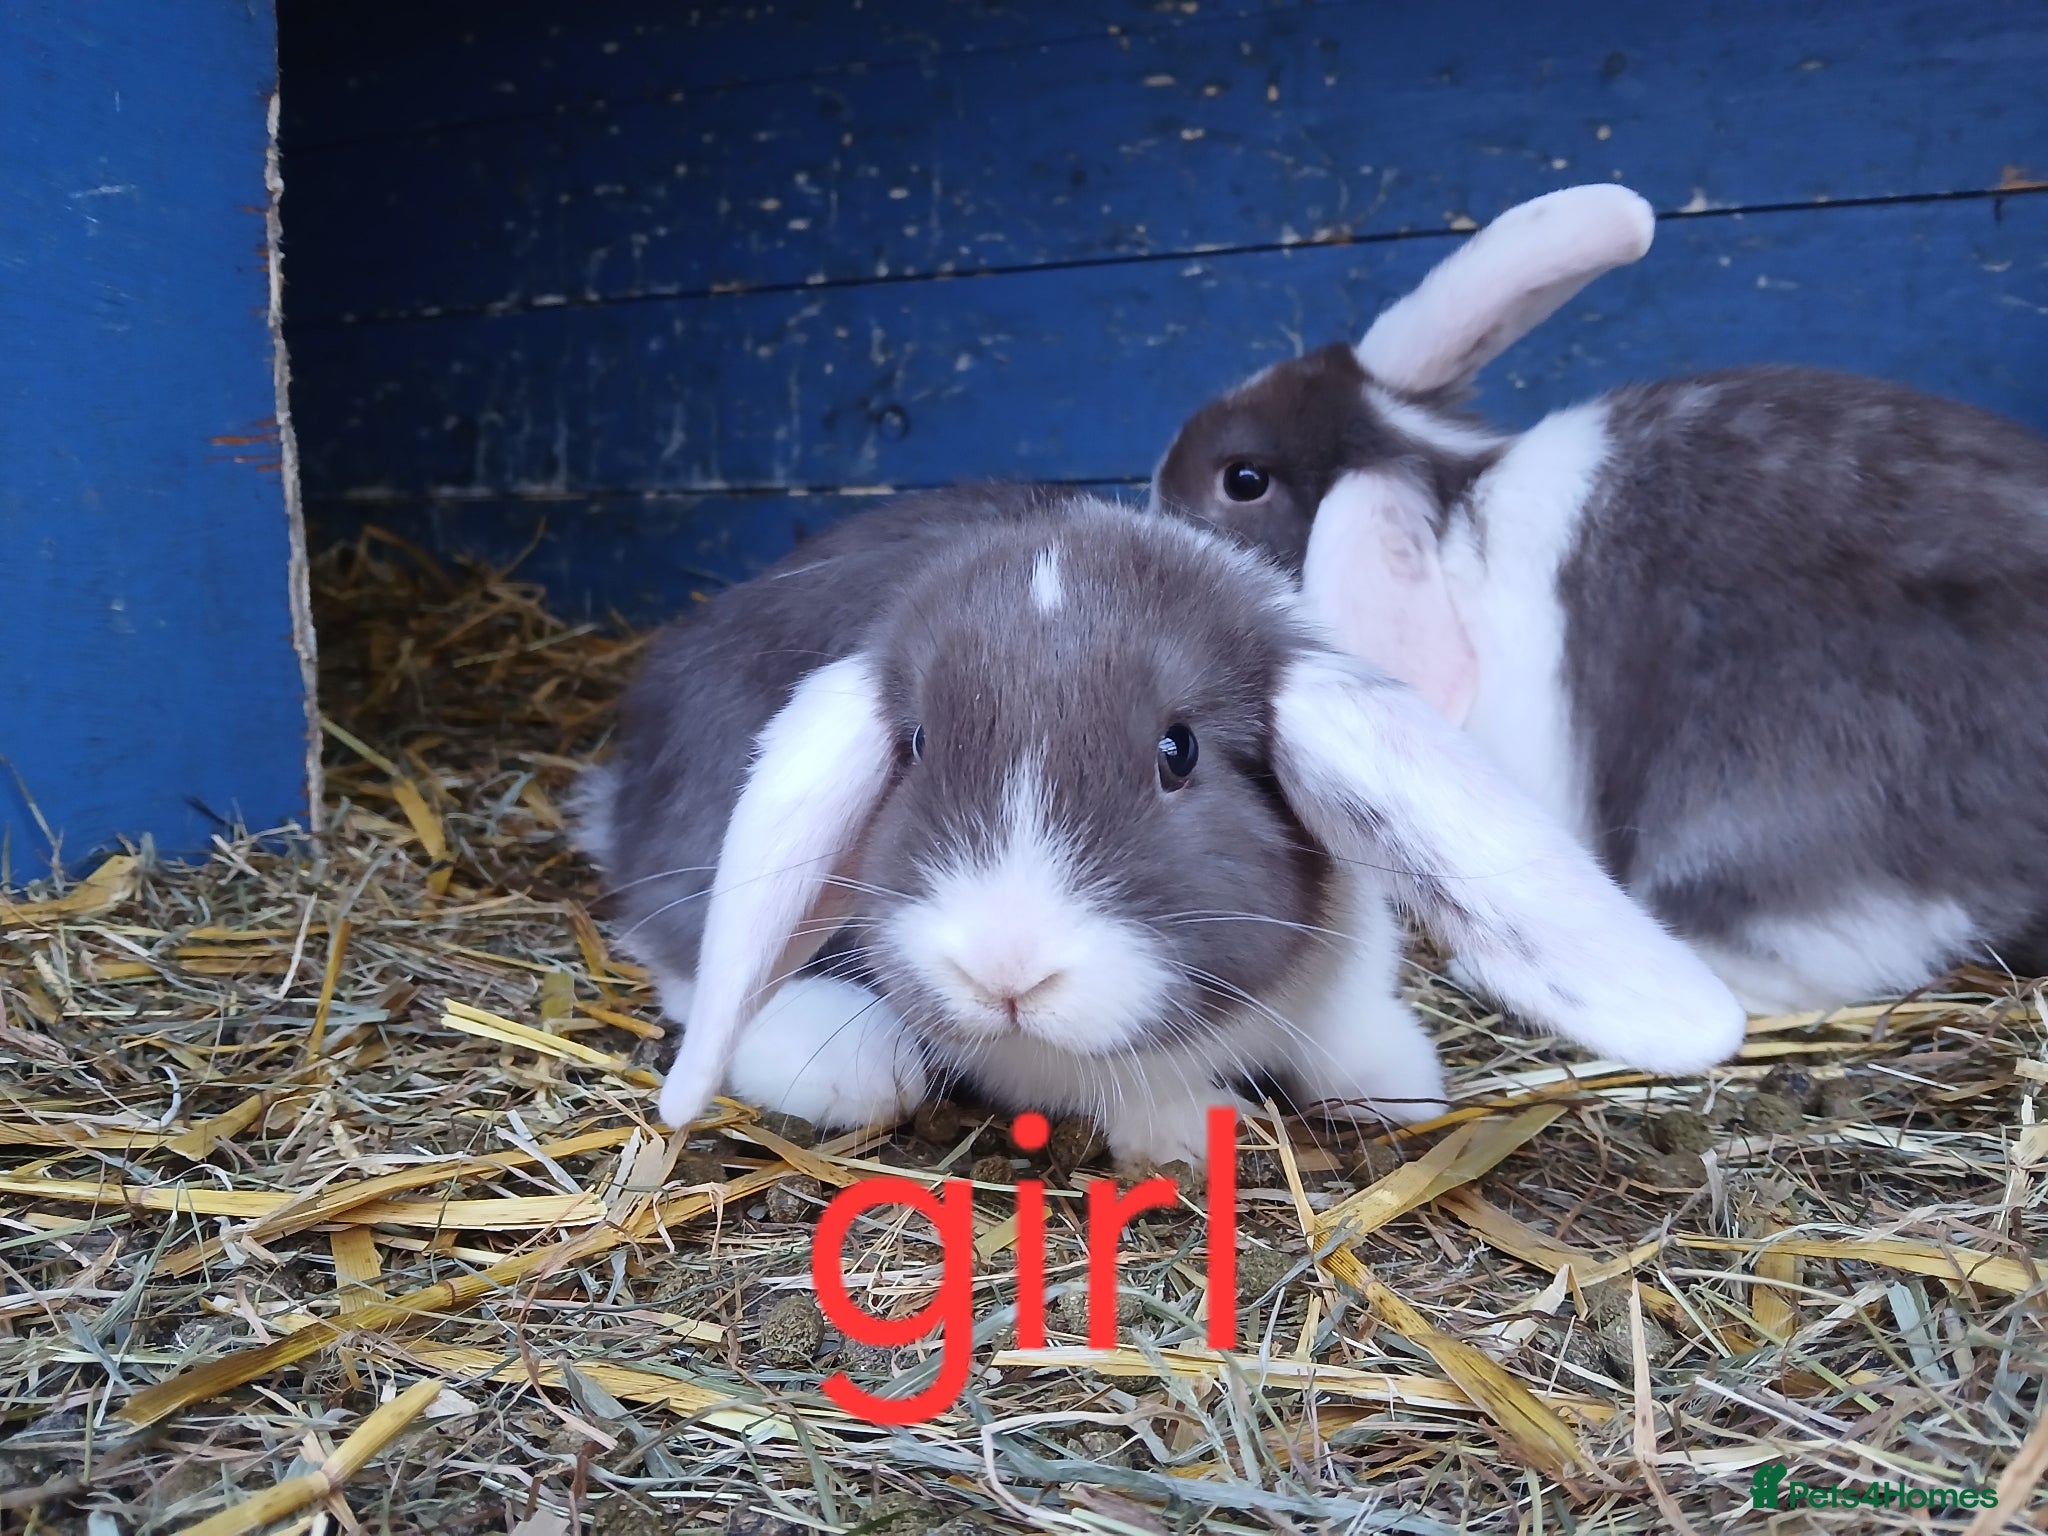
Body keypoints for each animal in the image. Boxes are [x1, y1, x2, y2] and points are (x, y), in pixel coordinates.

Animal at [572, 482, 1745, 1169]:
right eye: (914, 744)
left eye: (1177, 750)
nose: (1004, 975)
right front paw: (1200, 1133)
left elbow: (1350, 1039)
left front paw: (1394, 1086)